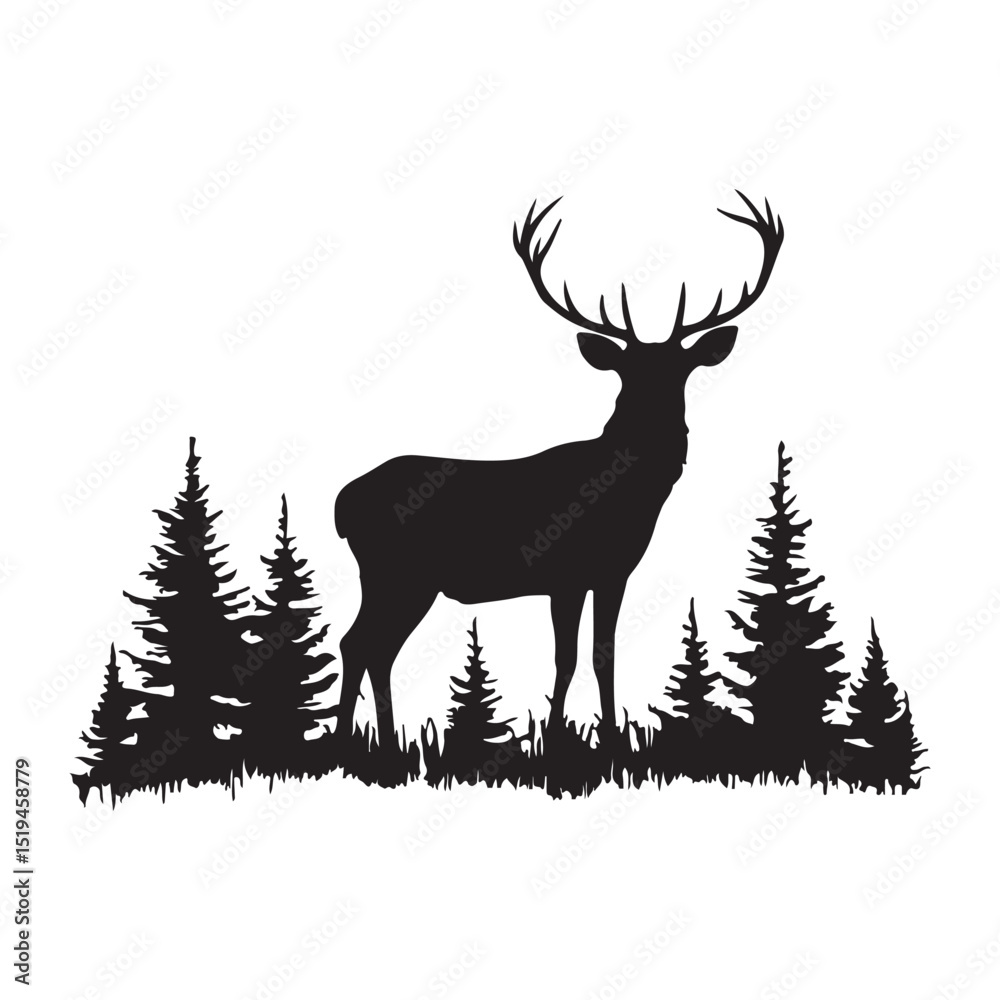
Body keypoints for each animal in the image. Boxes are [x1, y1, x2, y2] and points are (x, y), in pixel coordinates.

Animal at [335, 191, 783, 750]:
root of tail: (342, 502)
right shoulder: (564, 573)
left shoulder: (613, 571)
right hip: (397, 572)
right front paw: (554, 739)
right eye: (626, 371)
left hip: (400, 579)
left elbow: (602, 654)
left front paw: (612, 739)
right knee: (360, 644)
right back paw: (350, 741)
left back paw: (383, 743)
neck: (625, 496)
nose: (659, 425)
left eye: (682, 369)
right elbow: (566, 658)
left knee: (372, 647)